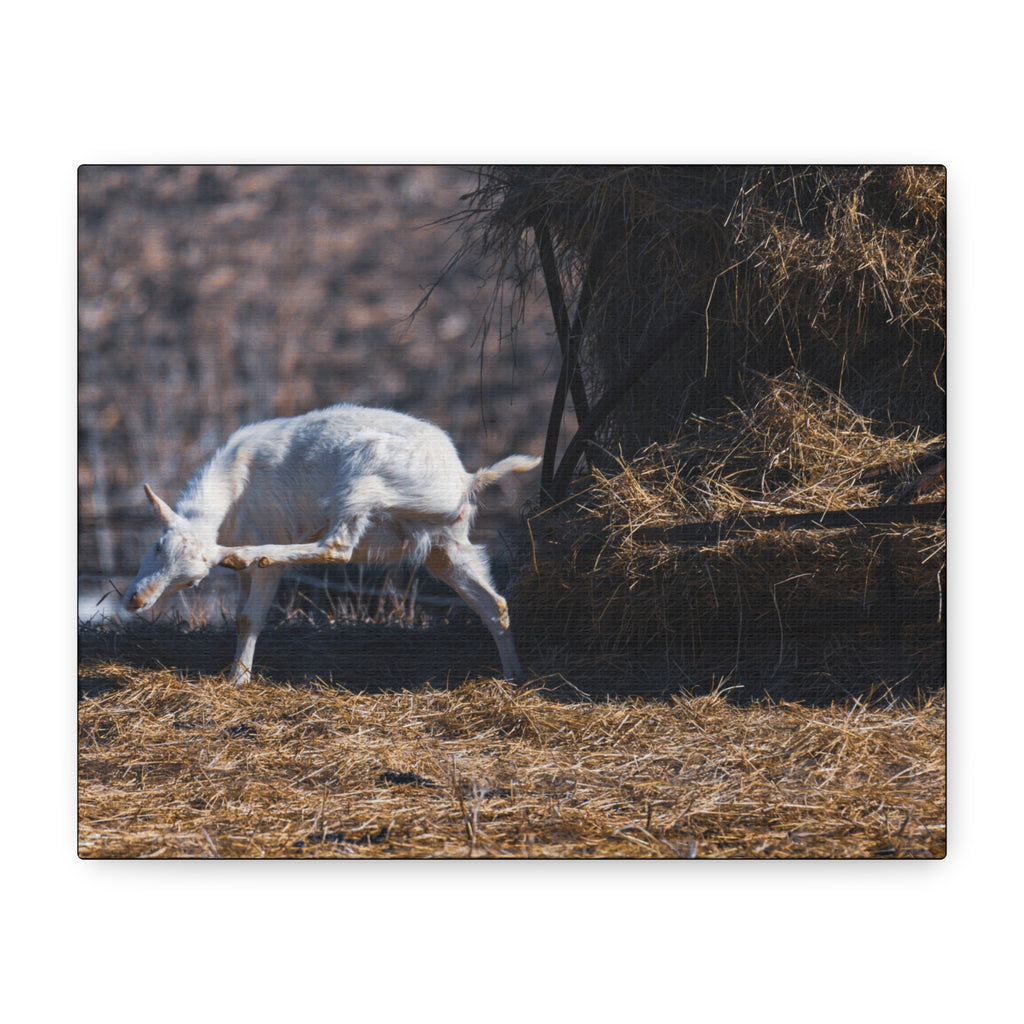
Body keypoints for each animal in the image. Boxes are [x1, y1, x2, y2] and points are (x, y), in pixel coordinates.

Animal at [123, 404, 540, 684]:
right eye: (157, 546)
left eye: (192, 582)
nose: (135, 601)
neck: (233, 485)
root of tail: (464, 480)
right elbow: (243, 614)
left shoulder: (269, 529)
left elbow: (249, 618)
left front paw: (236, 680)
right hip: (447, 545)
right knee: (493, 603)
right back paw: (514, 675)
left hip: (363, 480)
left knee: (336, 546)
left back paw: (246, 556)